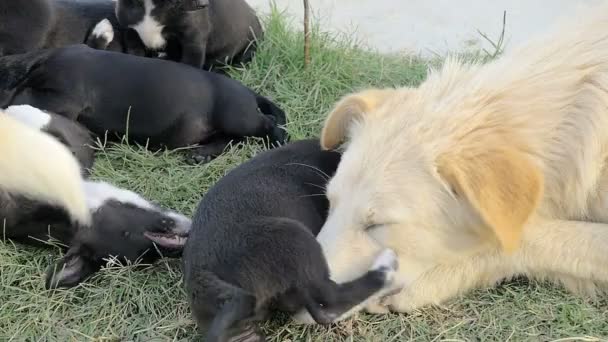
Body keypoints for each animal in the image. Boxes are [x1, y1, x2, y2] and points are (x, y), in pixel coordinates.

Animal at [2, 44, 288, 162]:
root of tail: (249, 93)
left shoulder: (62, 94)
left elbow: (26, 98)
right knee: (231, 140)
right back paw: (201, 154)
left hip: (237, 116)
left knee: (267, 123)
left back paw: (278, 140)